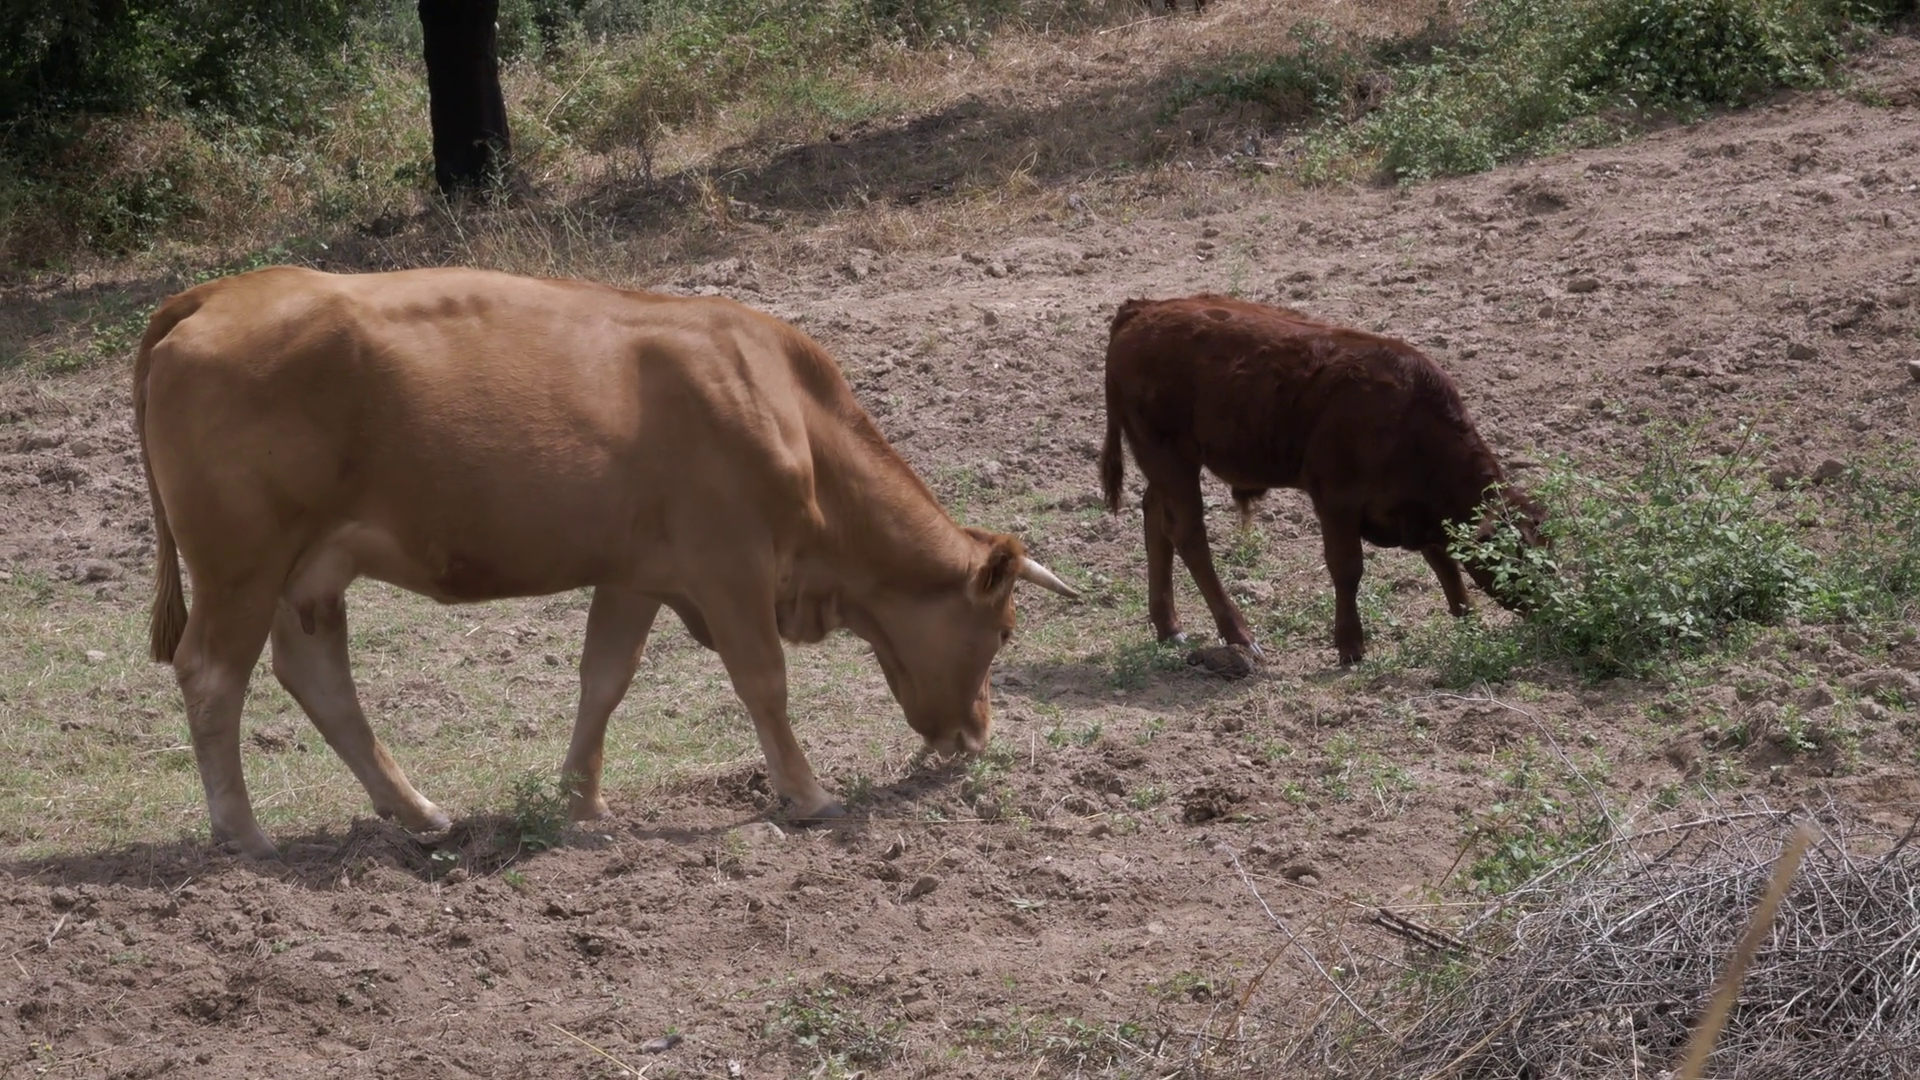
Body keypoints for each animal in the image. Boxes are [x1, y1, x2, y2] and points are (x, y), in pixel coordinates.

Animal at [134, 265, 1080, 858]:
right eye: (1002, 632)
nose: (976, 735)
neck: (788, 412)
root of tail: (219, 291)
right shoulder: (731, 566)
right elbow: (763, 682)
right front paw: (809, 794)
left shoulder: (636, 573)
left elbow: (605, 679)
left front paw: (580, 804)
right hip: (243, 565)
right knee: (213, 675)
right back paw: (244, 834)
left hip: (309, 571)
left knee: (319, 679)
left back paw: (418, 810)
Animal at [1098, 294, 1545, 666]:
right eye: (1518, 554)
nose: (1544, 605)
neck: (1408, 418)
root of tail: (1142, 309)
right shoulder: (1337, 501)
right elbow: (1347, 569)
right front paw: (1350, 646)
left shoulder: (1415, 511)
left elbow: (1443, 560)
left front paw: (1469, 620)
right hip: (1171, 460)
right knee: (1189, 535)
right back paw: (1239, 635)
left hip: (1165, 466)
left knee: (1156, 518)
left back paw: (1170, 627)